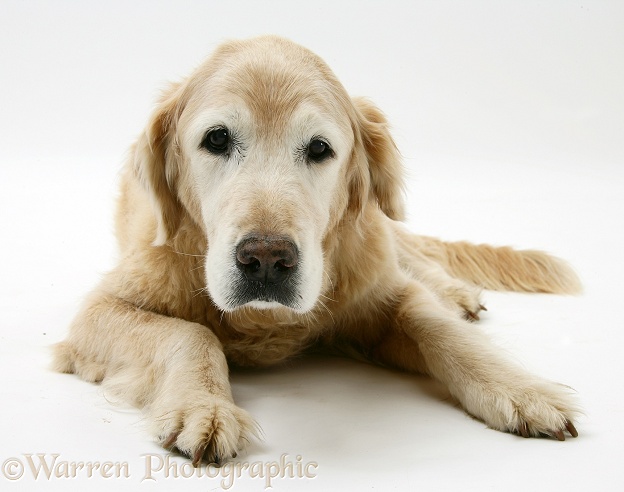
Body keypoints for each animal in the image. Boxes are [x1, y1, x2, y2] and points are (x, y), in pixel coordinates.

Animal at [53, 34, 580, 466]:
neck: (264, 319)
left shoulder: (378, 292)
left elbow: (439, 328)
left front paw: (520, 389)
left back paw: (454, 293)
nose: (266, 260)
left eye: (320, 148)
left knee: (416, 261)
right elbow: (189, 333)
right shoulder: (100, 311)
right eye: (217, 139)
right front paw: (204, 406)